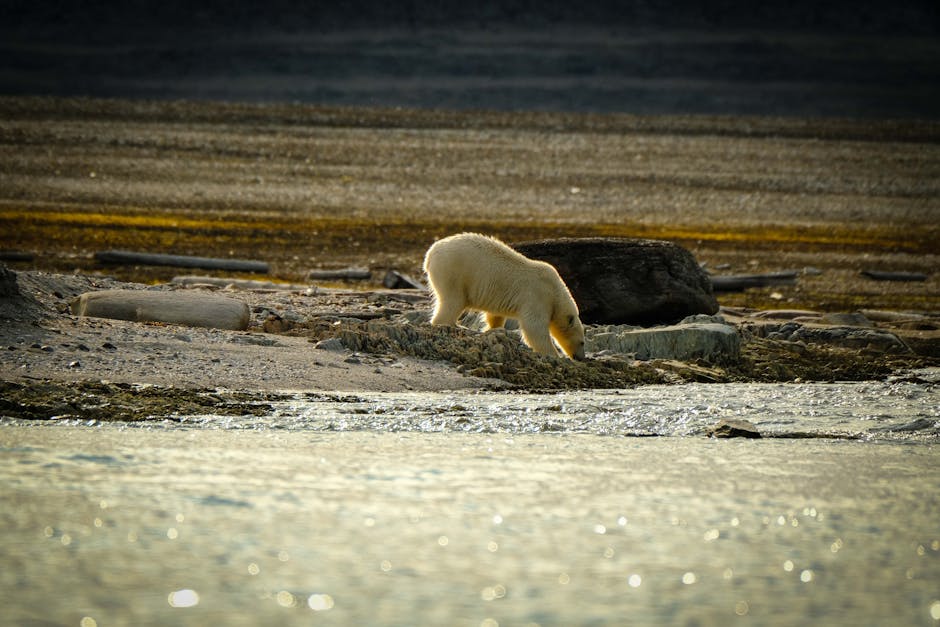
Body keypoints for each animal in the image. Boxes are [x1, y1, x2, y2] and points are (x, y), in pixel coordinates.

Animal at [423, 232, 586, 360]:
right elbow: (534, 328)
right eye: (582, 342)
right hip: (453, 272)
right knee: (453, 300)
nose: (581, 358)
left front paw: (492, 328)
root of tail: (430, 255)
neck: (556, 291)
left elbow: (494, 315)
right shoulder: (538, 296)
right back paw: (454, 324)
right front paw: (554, 354)